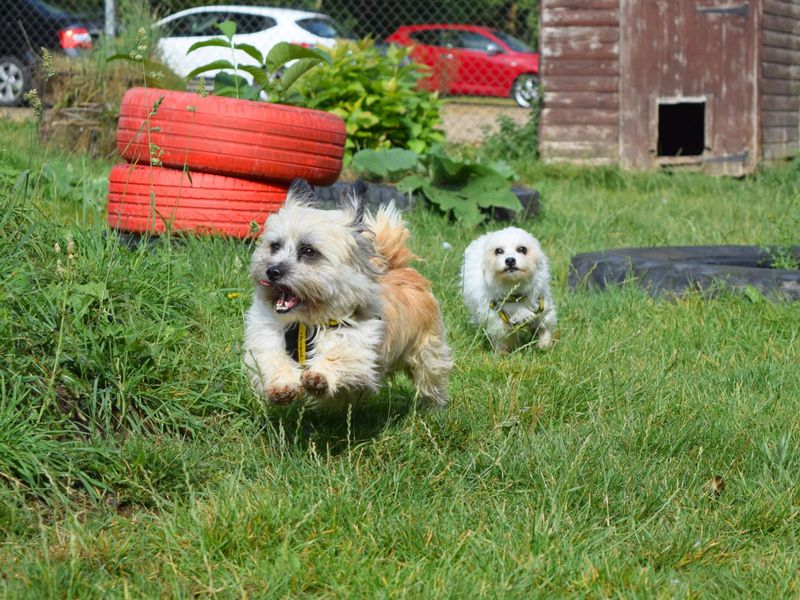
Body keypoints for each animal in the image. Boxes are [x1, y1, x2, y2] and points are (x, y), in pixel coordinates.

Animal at [244, 178, 454, 408]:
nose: (272, 271)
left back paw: (432, 405)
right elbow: (271, 359)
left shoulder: (357, 340)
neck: (305, 324)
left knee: (428, 376)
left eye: (308, 251)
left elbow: (340, 355)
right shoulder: (267, 334)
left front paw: (319, 378)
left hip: (427, 350)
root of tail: (395, 266)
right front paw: (282, 387)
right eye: (275, 246)